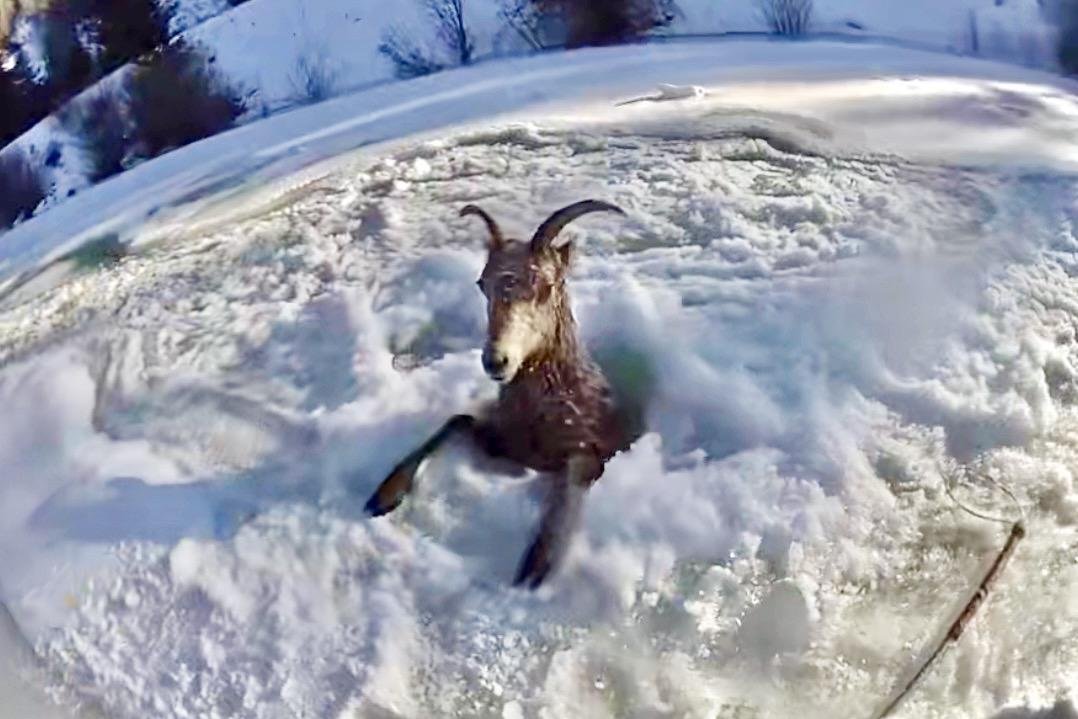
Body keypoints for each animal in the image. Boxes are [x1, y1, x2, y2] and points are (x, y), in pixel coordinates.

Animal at [365, 200, 637, 589]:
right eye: (482, 283)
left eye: (547, 284)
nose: (496, 360)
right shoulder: (501, 440)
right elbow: (457, 420)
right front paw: (384, 495)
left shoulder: (588, 448)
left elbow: (574, 475)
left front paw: (536, 565)